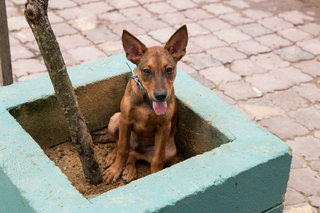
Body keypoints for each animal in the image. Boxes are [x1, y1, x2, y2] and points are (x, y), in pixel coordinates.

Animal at [103, 25, 188, 183]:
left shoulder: (163, 127)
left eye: (169, 69)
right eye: (146, 71)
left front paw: (156, 175)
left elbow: (157, 159)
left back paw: (129, 170)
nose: (160, 96)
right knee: (120, 145)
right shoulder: (125, 120)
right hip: (114, 120)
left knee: (134, 155)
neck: (147, 102)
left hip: (170, 150)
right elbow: (122, 148)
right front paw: (115, 170)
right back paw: (113, 157)